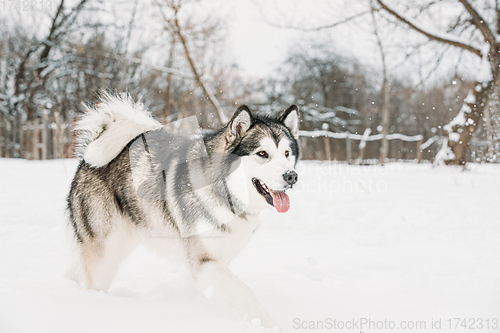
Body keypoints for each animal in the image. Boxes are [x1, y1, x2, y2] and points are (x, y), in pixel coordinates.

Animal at [68, 93, 298, 326]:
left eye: (287, 153)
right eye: (262, 153)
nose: (291, 176)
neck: (224, 192)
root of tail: (86, 159)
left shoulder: (217, 260)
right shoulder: (204, 263)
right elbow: (244, 292)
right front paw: (270, 324)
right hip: (105, 249)